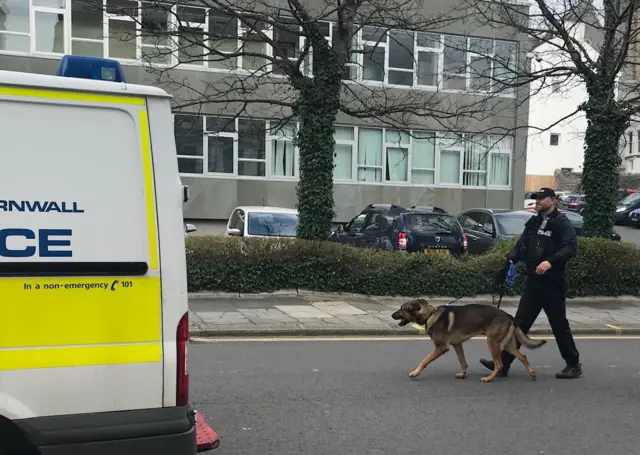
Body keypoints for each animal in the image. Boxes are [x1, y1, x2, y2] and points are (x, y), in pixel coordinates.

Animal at [390, 302, 544, 382]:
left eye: (402, 309)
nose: (392, 315)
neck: (430, 315)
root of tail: (510, 316)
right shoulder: (457, 345)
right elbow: (463, 361)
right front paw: (463, 374)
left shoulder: (441, 347)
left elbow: (424, 360)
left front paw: (415, 373)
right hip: (507, 345)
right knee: (522, 356)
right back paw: (532, 373)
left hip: (493, 343)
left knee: (499, 364)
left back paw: (489, 378)